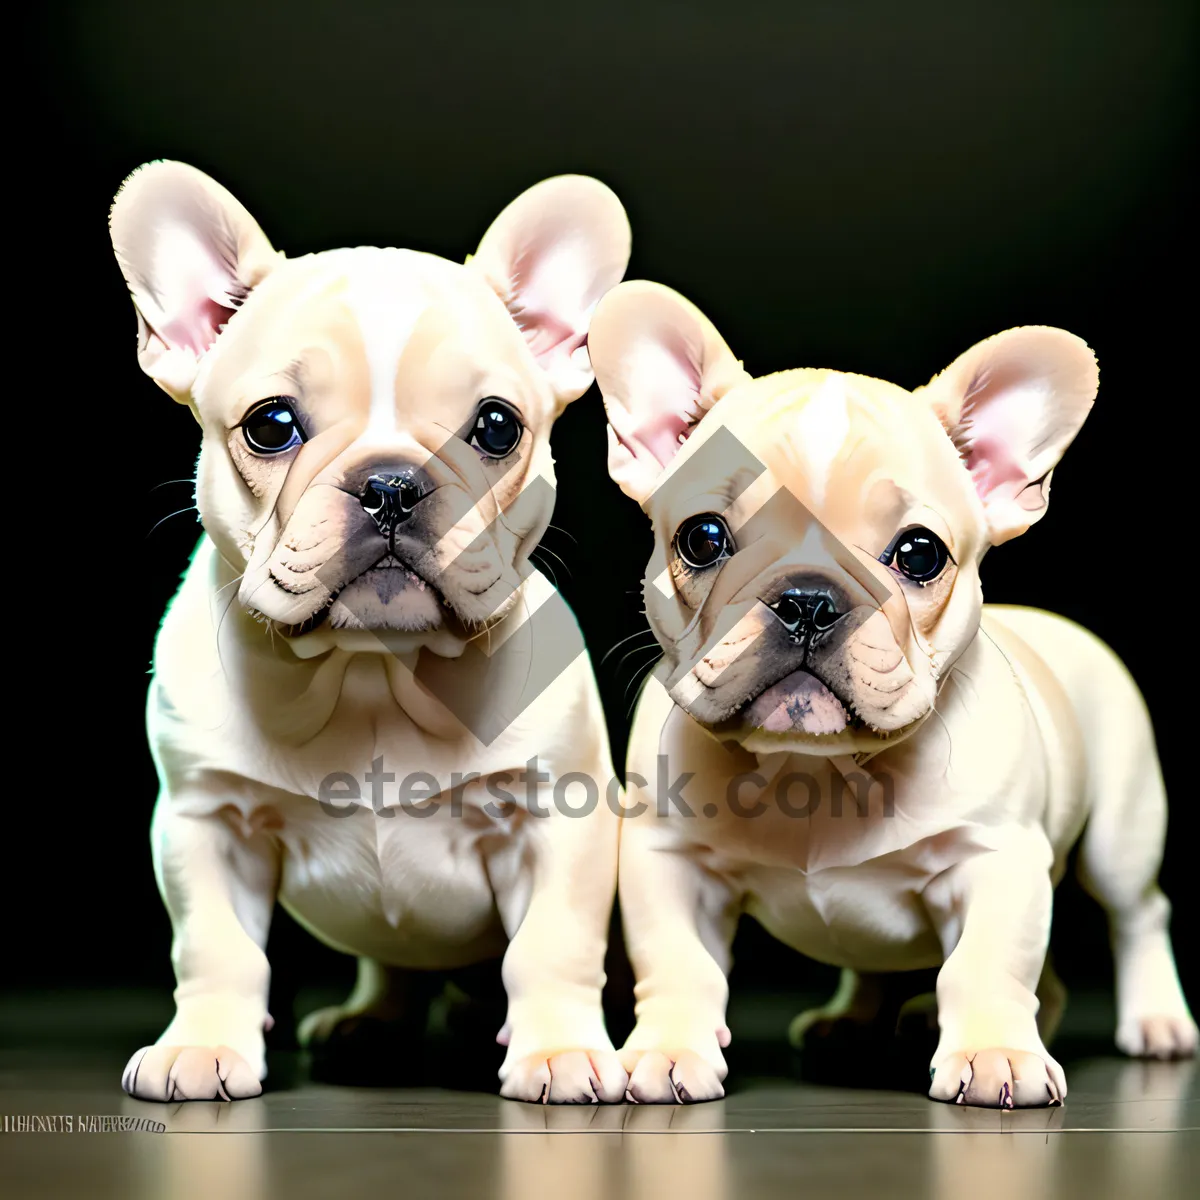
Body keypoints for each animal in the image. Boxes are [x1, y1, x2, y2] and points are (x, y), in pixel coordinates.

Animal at [111, 162, 633, 1104]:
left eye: (497, 426)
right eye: (271, 425)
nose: (391, 483)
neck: (373, 672)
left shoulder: (558, 821)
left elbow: (551, 946)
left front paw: (560, 1051)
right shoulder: (204, 821)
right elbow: (217, 947)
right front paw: (200, 1045)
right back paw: (368, 1023)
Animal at [590, 278, 1200, 1104]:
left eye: (919, 554)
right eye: (704, 538)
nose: (808, 600)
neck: (814, 770)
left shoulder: (996, 859)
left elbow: (986, 966)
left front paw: (995, 1054)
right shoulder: (671, 861)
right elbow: (678, 963)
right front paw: (666, 1048)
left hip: (1122, 832)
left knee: (1138, 914)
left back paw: (1155, 1022)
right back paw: (851, 1022)